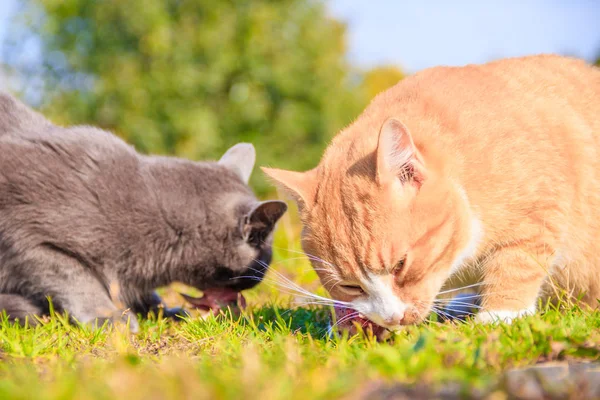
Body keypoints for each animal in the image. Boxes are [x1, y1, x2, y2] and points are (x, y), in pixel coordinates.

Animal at [0, 93, 288, 332]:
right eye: (262, 263)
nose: (254, 284)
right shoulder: (28, 238)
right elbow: (77, 278)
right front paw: (110, 317)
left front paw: (162, 311)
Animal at [262, 55, 600, 332]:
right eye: (350, 286)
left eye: (400, 265)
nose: (393, 317)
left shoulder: (541, 210)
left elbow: (518, 262)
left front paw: (501, 315)